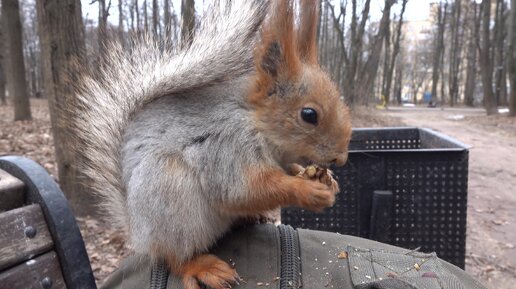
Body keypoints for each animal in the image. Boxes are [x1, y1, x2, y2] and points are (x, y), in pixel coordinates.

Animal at [73, 0, 350, 288]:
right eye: (309, 115)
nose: (341, 158)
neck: (255, 121)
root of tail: (138, 233)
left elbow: (286, 171)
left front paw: (325, 179)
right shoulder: (227, 145)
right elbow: (244, 189)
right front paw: (308, 190)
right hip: (171, 197)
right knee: (174, 258)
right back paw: (202, 267)